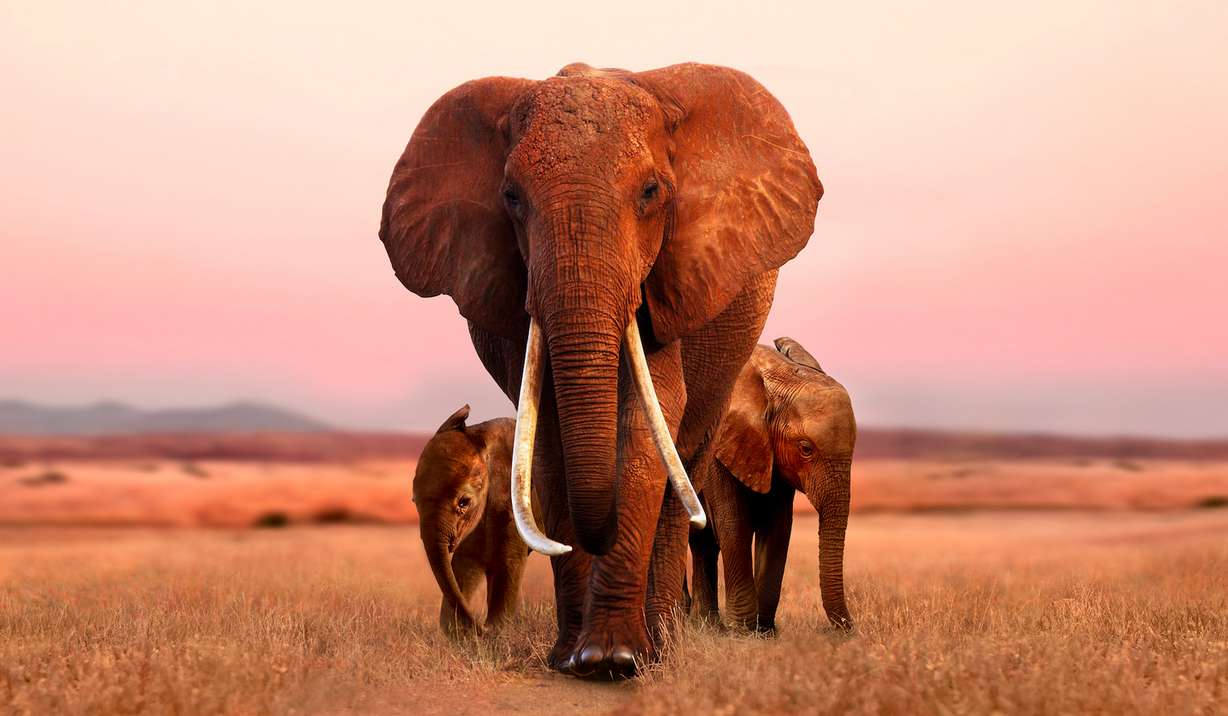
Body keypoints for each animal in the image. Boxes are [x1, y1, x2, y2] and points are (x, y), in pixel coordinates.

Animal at [412, 405, 527, 636]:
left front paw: (497, 630)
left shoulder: (513, 503)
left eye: (464, 502)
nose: (480, 625)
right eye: (414, 501)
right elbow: (464, 565)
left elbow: (509, 563)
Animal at [689, 337, 855, 633]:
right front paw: (742, 631)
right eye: (806, 449)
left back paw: (706, 625)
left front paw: (764, 631)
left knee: (702, 542)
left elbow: (778, 526)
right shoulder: (719, 445)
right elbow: (734, 523)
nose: (849, 630)